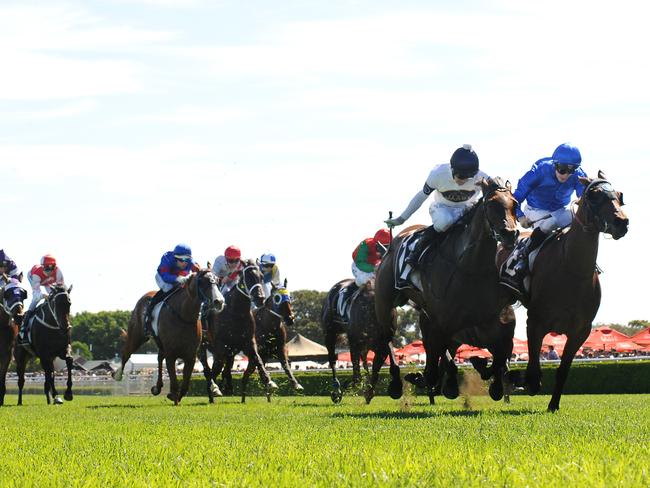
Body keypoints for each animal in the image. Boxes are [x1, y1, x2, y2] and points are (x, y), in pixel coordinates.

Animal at [112, 268, 223, 406]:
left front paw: (175, 396)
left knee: (159, 358)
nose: (219, 302)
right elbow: (174, 380)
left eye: (217, 281)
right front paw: (174, 398)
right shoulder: (171, 354)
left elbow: (186, 384)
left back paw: (157, 387)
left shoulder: (191, 355)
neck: (184, 315)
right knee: (126, 353)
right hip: (137, 336)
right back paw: (118, 374)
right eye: (203, 282)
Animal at [199, 262, 278, 402]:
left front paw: (269, 381)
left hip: (229, 352)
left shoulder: (248, 343)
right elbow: (215, 370)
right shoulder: (221, 346)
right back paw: (213, 391)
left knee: (223, 369)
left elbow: (258, 359)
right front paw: (215, 388)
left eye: (261, 277)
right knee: (208, 369)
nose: (260, 298)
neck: (236, 313)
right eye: (247, 277)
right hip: (203, 348)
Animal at [374, 178, 516, 404]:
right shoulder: (442, 322)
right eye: (491, 204)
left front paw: (488, 376)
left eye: (515, 204)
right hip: (385, 305)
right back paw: (397, 382)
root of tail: (391, 244)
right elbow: (439, 364)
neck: (471, 268)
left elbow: (500, 359)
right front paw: (433, 380)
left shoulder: (494, 324)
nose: (510, 234)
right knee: (387, 338)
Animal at [508, 172, 624, 412]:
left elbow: (563, 370)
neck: (572, 269)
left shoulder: (581, 331)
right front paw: (524, 381)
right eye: (594, 195)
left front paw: (553, 405)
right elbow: (533, 368)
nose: (622, 222)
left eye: (619, 195)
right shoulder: (536, 322)